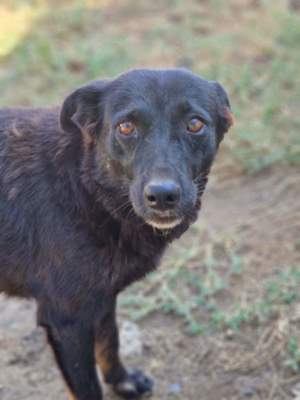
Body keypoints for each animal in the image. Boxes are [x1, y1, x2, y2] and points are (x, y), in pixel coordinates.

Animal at [0, 69, 233, 400]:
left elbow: (110, 342)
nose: (163, 196)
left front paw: (123, 382)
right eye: (126, 127)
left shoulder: (101, 297)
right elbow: (87, 387)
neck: (85, 188)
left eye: (195, 124)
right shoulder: (66, 320)